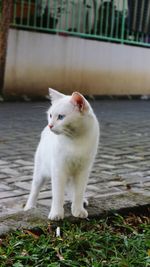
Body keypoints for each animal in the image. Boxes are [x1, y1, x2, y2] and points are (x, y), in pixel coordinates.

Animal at [24, 89, 99, 221]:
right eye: (50, 115)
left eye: (61, 117)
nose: (50, 125)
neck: (75, 139)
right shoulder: (59, 170)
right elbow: (58, 194)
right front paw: (56, 213)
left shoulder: (83, 171)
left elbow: (79, 192)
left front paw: (78, 210)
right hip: (40, 173)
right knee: (35, 190)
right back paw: (29, 207)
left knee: (71, 188)